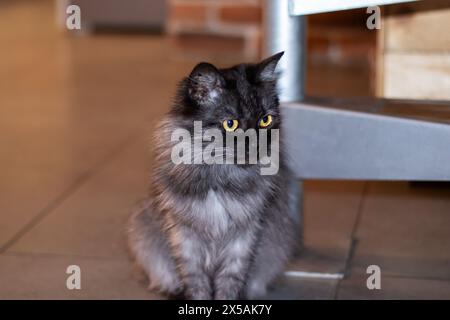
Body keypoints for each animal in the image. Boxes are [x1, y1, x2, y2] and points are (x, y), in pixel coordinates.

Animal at [126, 52, 300, 300]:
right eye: (230, 124)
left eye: (265, 120)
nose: (256, 146)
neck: (221, 178)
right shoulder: (185, 238)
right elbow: (196, 283)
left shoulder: (243, 239)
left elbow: (230, 283)